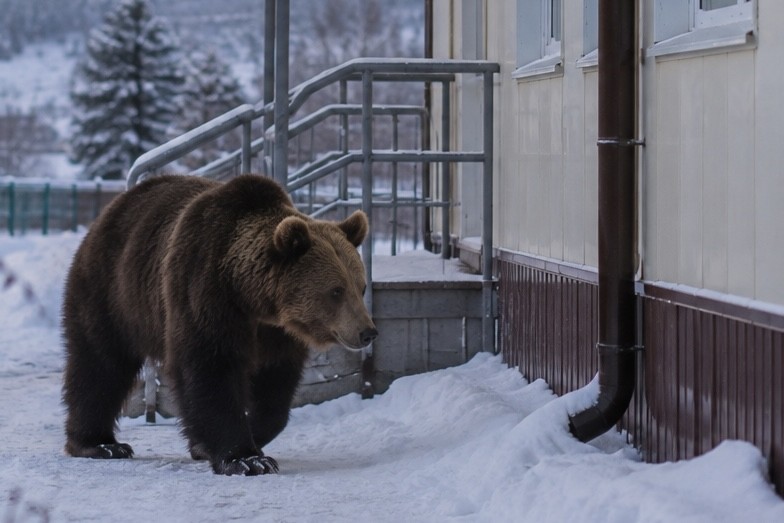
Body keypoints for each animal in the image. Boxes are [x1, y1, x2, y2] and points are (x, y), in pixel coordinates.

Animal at [62, 174, 377, 476]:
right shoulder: (205, 292)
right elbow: (210, 368)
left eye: (361, 287)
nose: (367, 332)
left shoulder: (276, 332)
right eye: (335, 291)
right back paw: (99, 443)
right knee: (100, 363)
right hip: (114, 291)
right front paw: (246, 459)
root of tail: (114, 207)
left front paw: (234, 439)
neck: (253, 298)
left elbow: (276, 384)